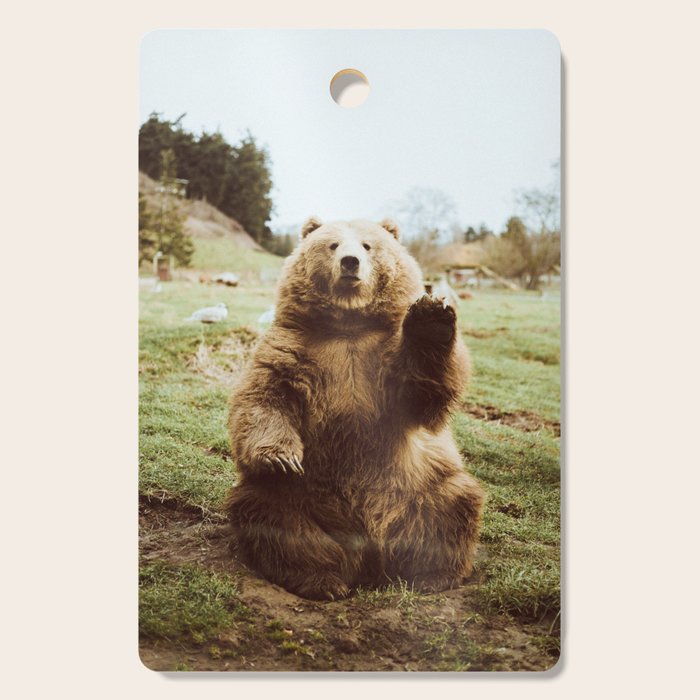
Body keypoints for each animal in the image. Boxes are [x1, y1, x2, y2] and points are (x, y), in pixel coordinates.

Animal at [225, 217, 485, 600]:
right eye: (332, 245)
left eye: (367, 245)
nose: (350, 262)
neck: (348, 326)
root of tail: (369, 552)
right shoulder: (292, 348)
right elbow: (264, 397)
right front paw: (281, 457)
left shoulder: (382, 359)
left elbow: (423, 393)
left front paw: (431, 317)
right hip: (302, 496)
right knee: (271, 515)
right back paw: (322, 580)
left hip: (419, 484)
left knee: (453, 504)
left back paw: (431, 575)